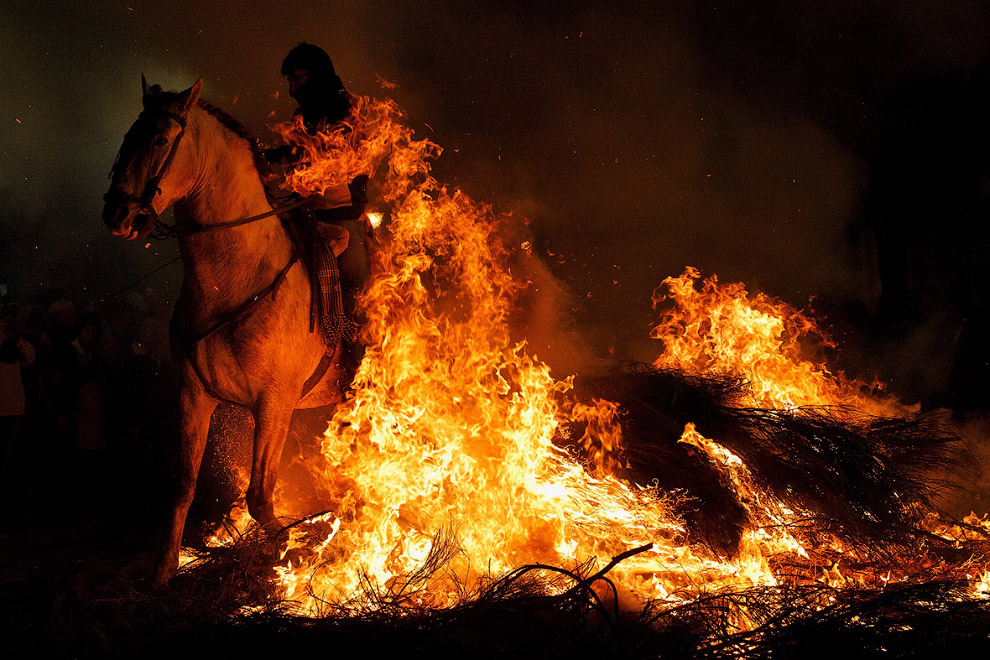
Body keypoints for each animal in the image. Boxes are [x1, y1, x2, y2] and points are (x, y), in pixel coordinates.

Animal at [103, 78, 348, 588]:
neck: (237, 276)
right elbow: (183, 484)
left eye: (159, 140)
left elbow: (259, 497)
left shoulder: (275, 403)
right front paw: (163, 570)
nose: (116, 214)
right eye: (128, 136)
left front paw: (292, 552)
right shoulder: (195, 393)